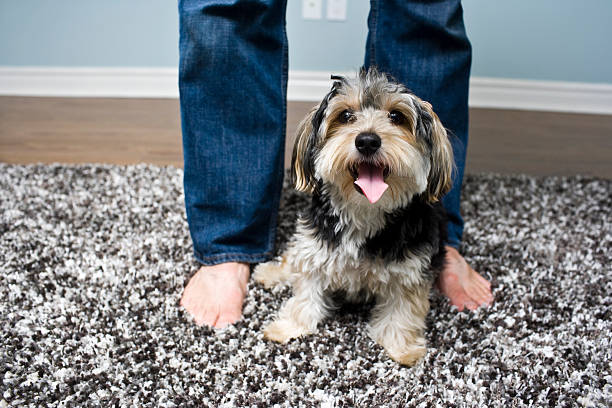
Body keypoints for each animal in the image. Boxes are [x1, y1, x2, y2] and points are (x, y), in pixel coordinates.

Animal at [253, 67, 454, 366]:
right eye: (345, 115)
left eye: (397, 117)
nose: (367, 140)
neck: (364, 211)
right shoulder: (316, 249)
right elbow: (305, 294)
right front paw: (289, 327)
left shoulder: (411, 271)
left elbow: (403, 312)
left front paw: (401, 348)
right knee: (294, 257)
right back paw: (272, 272)